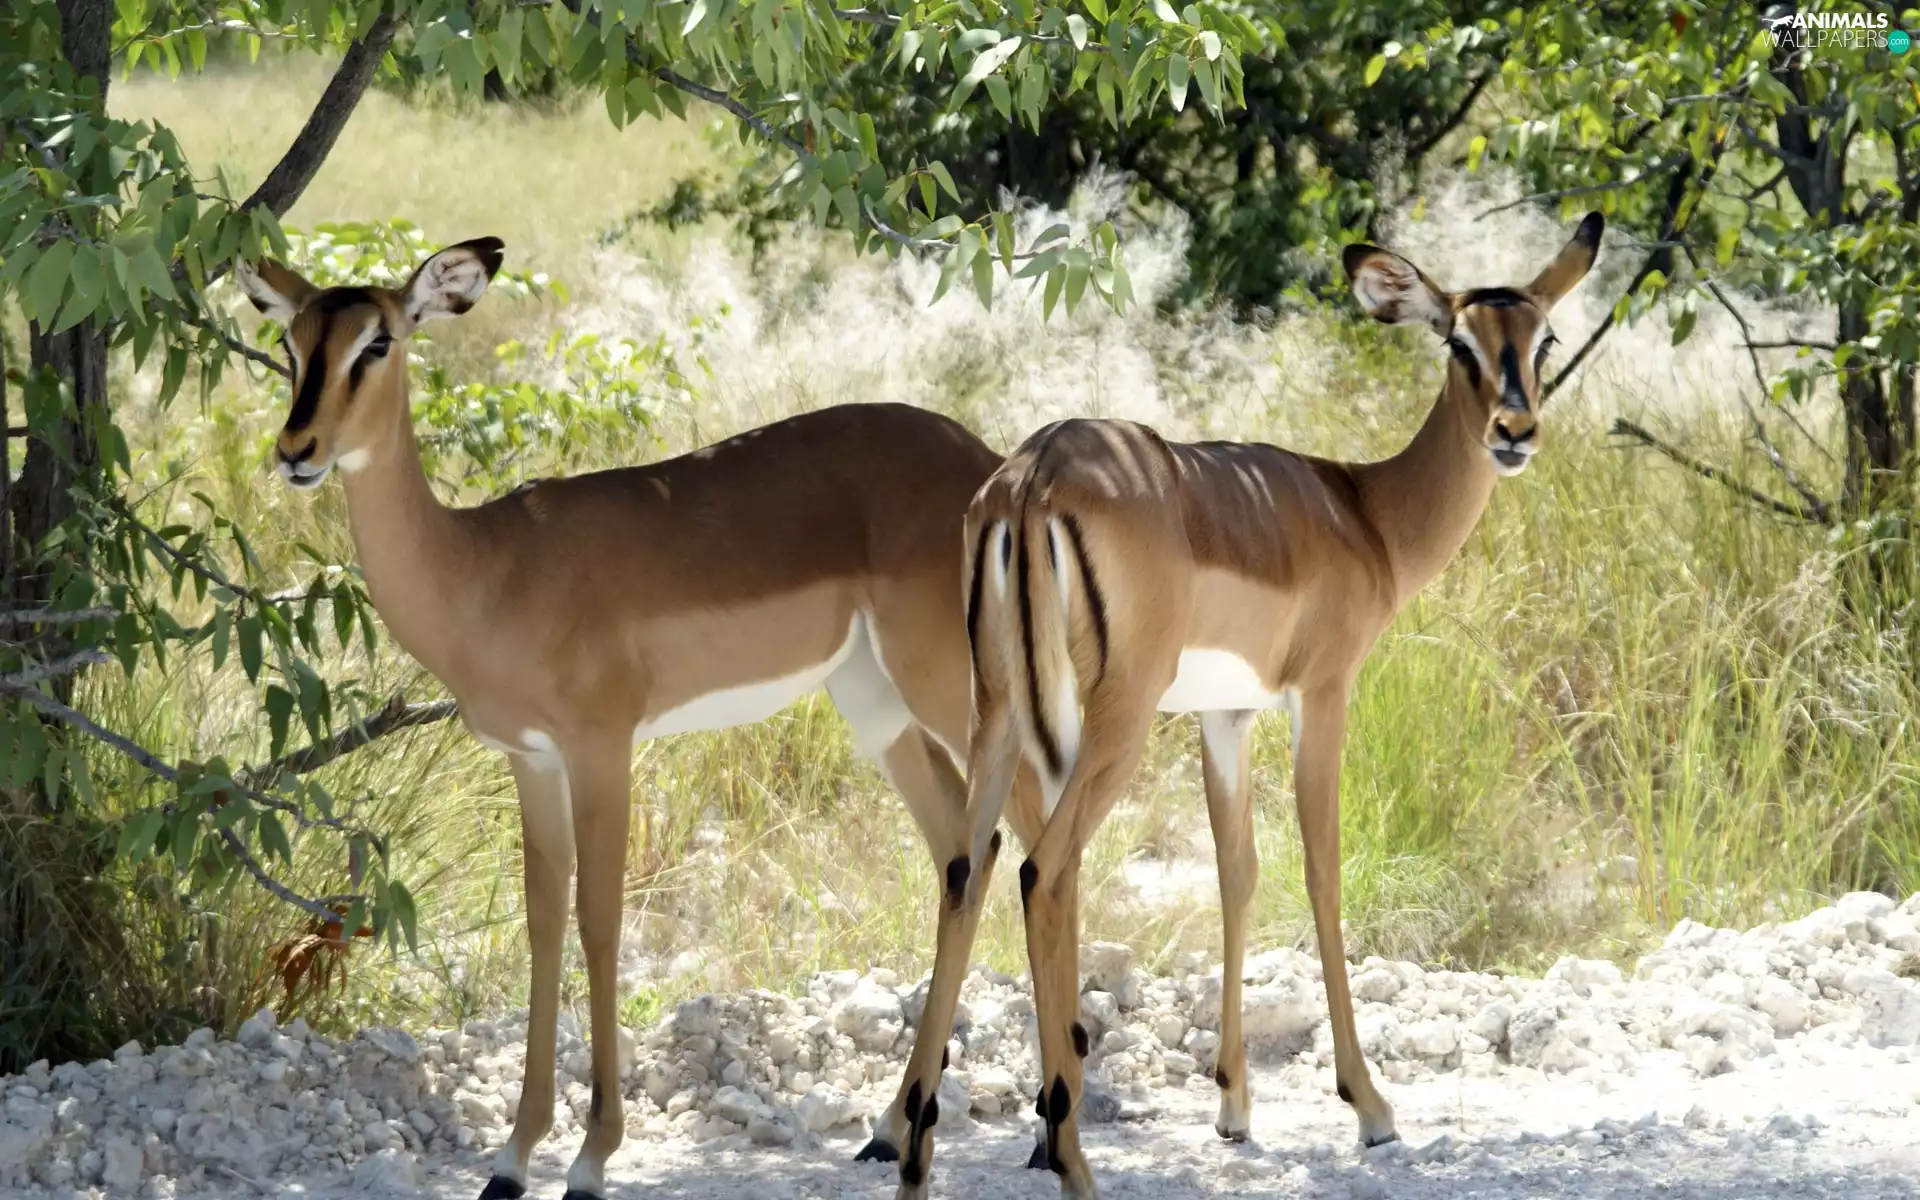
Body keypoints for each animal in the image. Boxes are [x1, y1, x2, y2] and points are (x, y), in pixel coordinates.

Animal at [235, 239, 1046, 1200]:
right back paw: (891, 1129)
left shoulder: (602, 749)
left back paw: (1044, 1136)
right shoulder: (531, 759)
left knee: (1039, 836)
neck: (488, 571)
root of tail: (989, 469)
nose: (297, 451)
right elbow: (544, 918)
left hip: (957, 692)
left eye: (380, 341)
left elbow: (601, 919)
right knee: (965, 848)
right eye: (291, 343)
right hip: (877, 706)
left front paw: (592, 1156)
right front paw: (512, 1159)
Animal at [899, 213, 1605, 1198]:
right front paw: (1371, 1108)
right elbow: (1321, 869)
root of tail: (1028, 480)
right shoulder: (1323, 694)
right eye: (1458, 342)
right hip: (1110, 725)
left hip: (996, 714)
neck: (1364, 513)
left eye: (1542, 341)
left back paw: (917, 1157)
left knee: (969, 870)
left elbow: (1236, 874)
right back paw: (1067, 1157)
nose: (1515, 430)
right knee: (1046, 870)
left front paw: (1234, 1105)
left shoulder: (1224, 716)